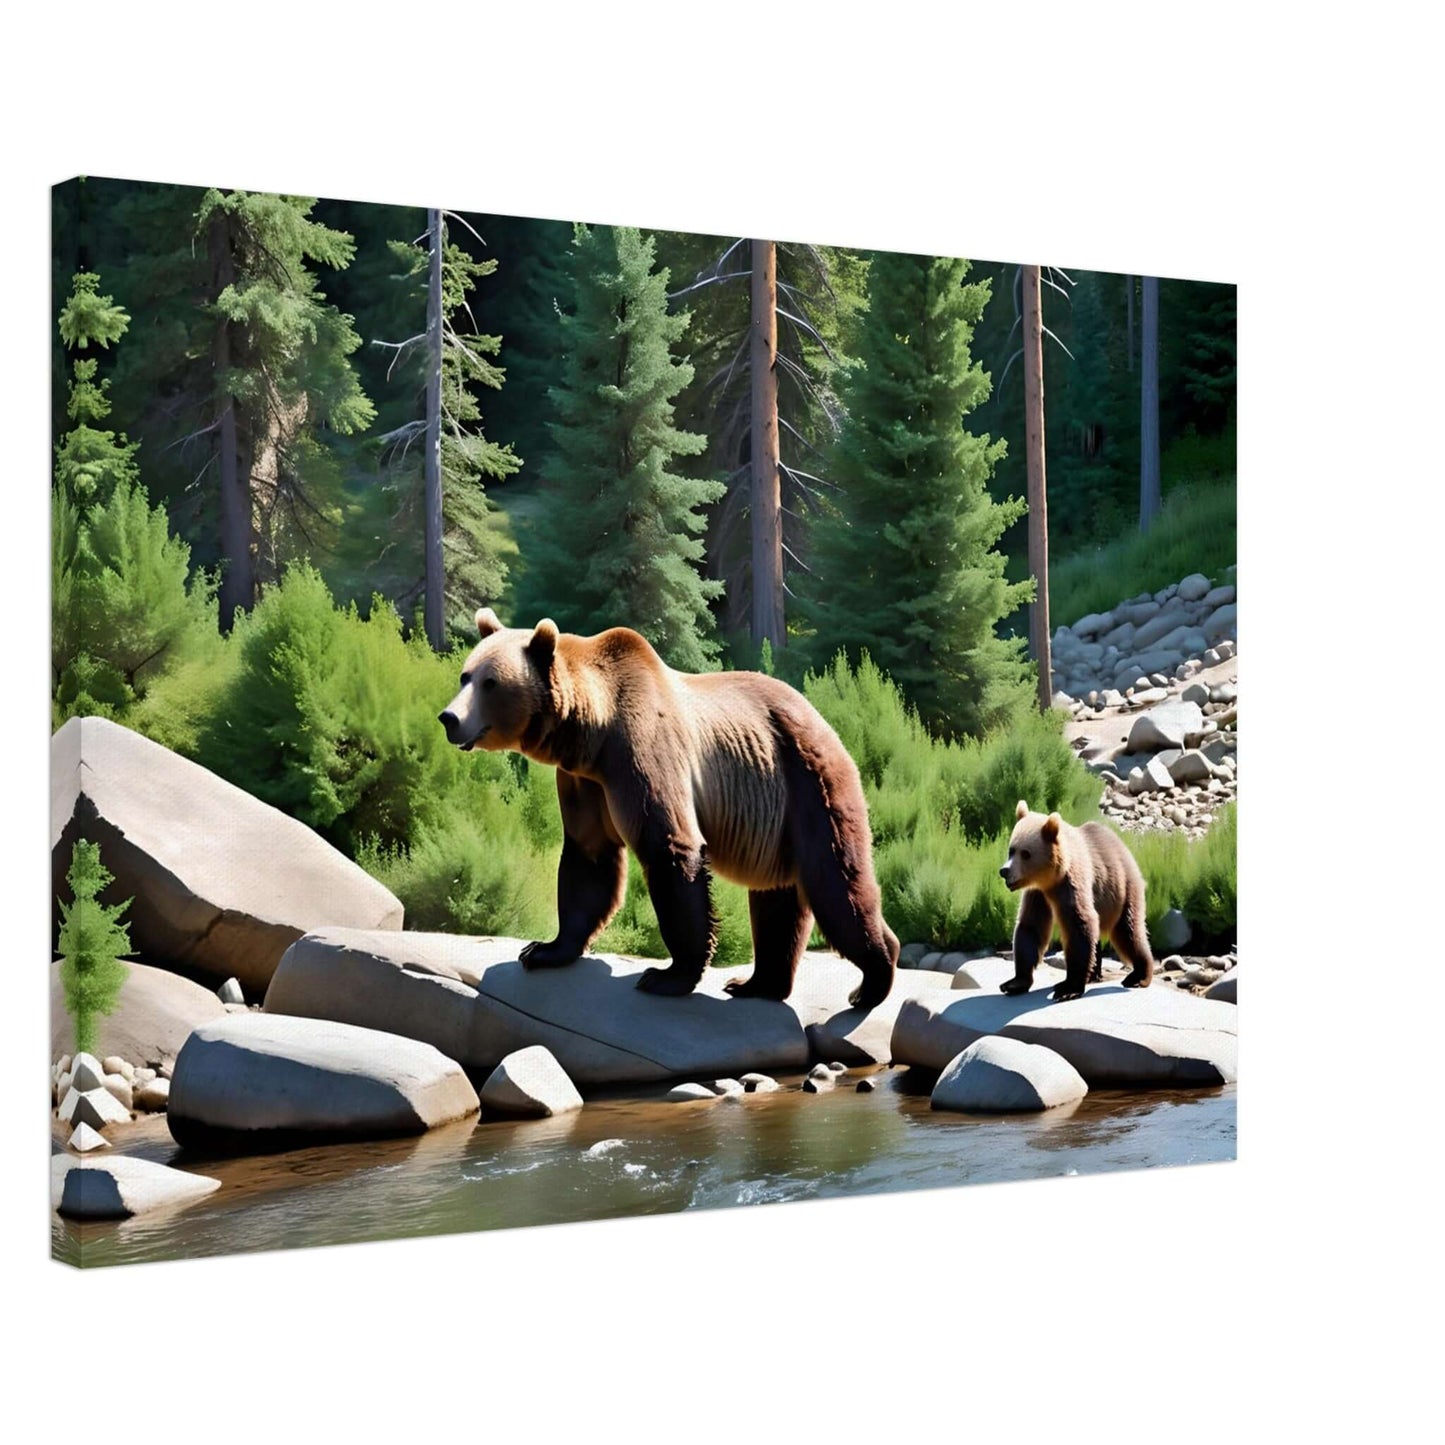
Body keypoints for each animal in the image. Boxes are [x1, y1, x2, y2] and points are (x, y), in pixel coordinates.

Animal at [438, 609, 899, 1009]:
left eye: (490, 683)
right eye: (465, 675)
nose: (449, 718)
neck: (591, 733)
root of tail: (822, 719)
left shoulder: (642, 749)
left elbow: (670, 847)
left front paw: (668, 975)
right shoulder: (585, 781)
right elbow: (588, 858)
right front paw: (544, 950)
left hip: (807, 782)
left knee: (835, 881)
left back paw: (871, 979)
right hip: (775, 816)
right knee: (777, 898)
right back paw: (757, 983)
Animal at [997, 800, 1154, 1003]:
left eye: (1025, 853)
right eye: (1011, 850)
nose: (1004, 871)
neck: (1051, 879)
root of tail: (1124, 847)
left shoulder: (1072, 883)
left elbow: (1079, 923)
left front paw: (1067, 988)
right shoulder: (1037, 893)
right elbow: (1030, 926)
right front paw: (1014, 983)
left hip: (1124, 889)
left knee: (1129, 931)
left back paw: (1139, 976)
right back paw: (1094, 974)